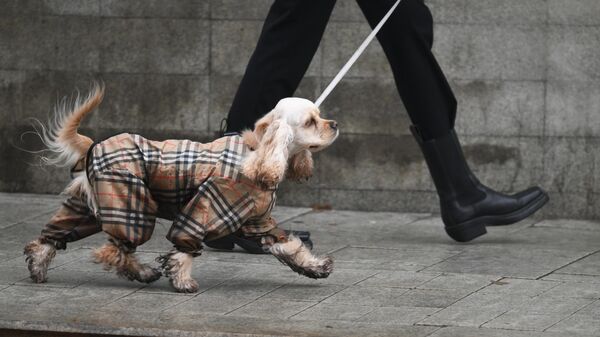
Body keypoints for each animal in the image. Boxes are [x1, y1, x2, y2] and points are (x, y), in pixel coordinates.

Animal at [22, 84, 338, 292]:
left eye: (319, 115)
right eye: (310, 122)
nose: (334, 124)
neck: (257, 154)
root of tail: (93, 146)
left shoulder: (260, 221)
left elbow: (289, 246)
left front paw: (315, 267)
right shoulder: (206, 207)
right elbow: (184, 248)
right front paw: (183, 280)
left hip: (87, 206)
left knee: (53, 236)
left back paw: (38, 266)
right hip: (130, 201)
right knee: (117, 249)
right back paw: (144, 272)